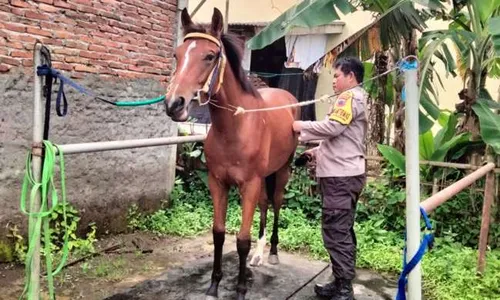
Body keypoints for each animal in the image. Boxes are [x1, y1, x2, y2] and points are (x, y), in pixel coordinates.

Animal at [165, 7, 300, 300]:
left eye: (210, 56)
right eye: (177, 55)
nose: (174, 104)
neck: (235, 128)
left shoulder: (248, 185)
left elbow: (241, 240)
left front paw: (239, 288)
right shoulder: (218, 183)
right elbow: (218, 233)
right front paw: (214, 285)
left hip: (281, 171)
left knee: (276, 204)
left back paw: (272, 252)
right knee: (264, 205)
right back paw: (258, 256)